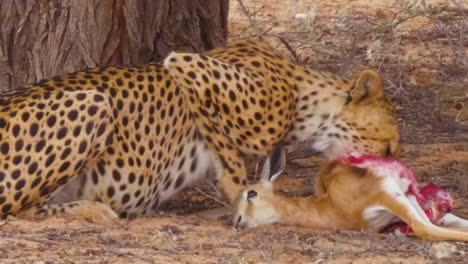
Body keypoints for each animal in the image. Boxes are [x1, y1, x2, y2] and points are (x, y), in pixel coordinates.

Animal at [0, 39, 400, 221]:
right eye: (389, 148)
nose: (391, 166)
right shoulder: (188, 64)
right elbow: (228, 151)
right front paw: (241, 196)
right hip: (95, 102)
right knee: (19, 211)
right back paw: (95, 210)